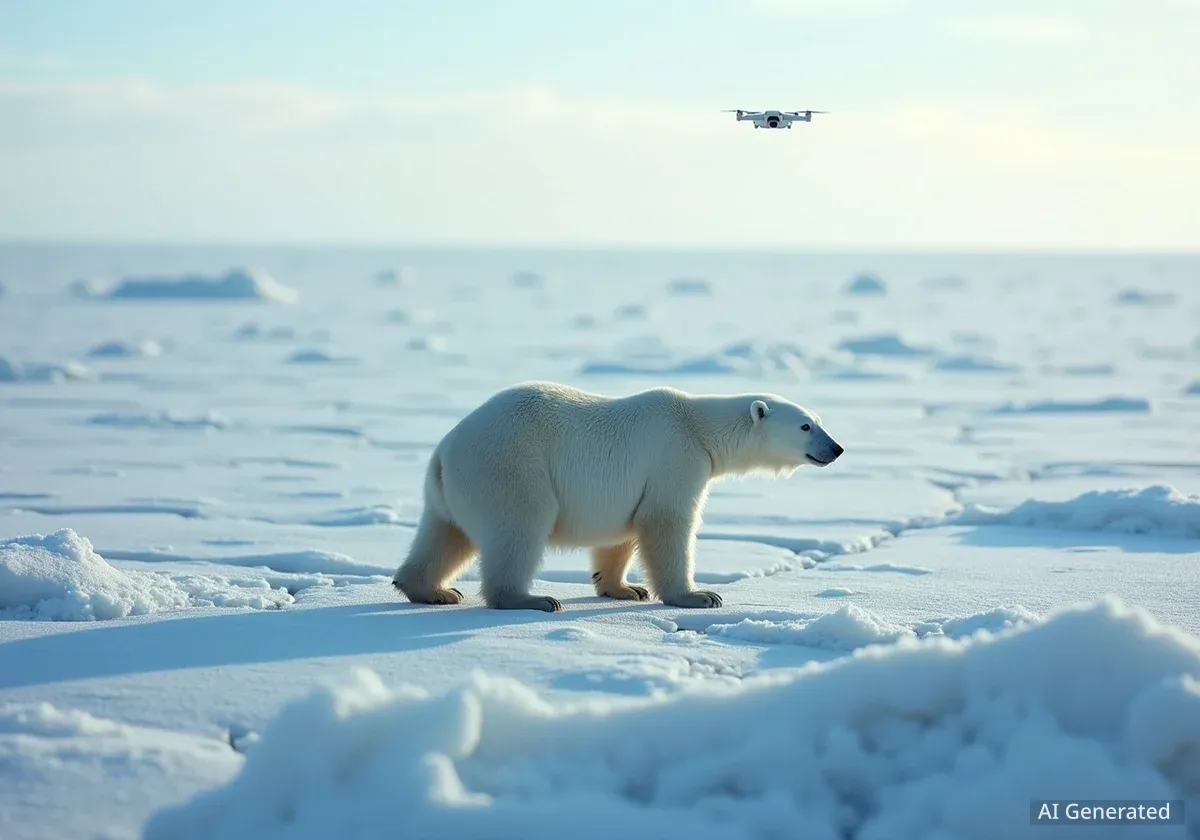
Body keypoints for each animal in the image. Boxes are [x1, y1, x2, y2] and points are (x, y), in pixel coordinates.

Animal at [392, 381, 844, 612]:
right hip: (510, 465)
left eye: (819, 420)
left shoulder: (633, 482)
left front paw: (624, 588)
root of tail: (444, 451)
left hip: (454, 489)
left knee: (444, 534)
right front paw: (699, 595)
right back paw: (531, 599)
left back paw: (431, 590)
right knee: (519, 527)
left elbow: (622, 532)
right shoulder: (675, 455)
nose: (836, 448)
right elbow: (667, 521)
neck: (697, 425)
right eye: (806, 426)